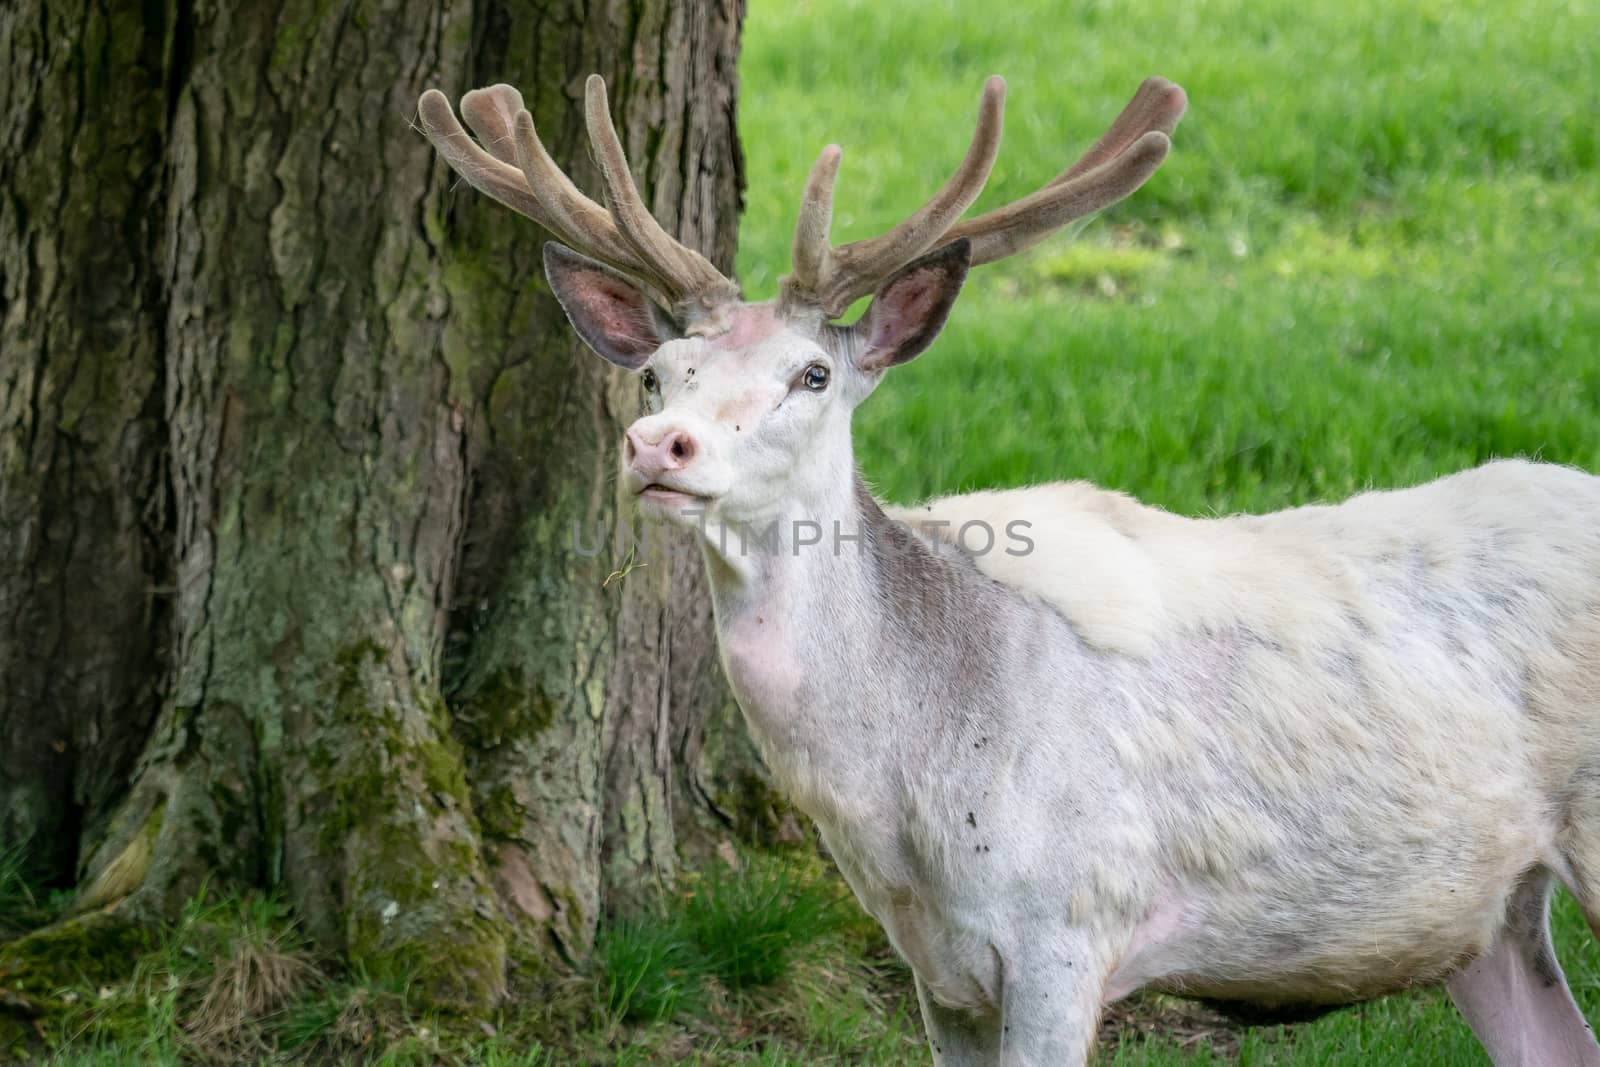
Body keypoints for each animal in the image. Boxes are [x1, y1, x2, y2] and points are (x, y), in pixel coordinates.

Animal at [419, 70, 1600, 1062]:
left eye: (812, 374)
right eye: (661, 371)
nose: (658, 445)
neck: (910, 803)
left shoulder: (1069, 927)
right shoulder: (937, 974)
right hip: (1488, 914)